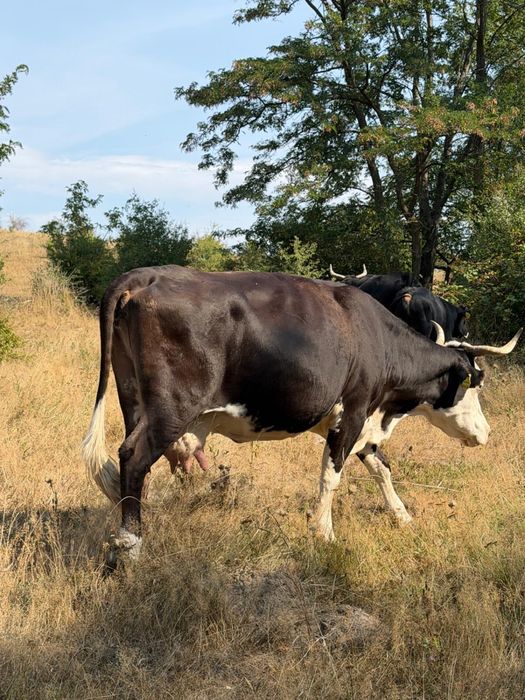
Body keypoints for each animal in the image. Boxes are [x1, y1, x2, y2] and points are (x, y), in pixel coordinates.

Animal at [82, 266, 521, 559]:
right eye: (476, 383)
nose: (485, 432)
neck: (379, 339)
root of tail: (145, 276)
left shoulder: (364, 422)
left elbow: (381, 468)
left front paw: (402, 516)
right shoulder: (354, 412)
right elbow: (331, 475)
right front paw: (323, 532)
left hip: (132, 398)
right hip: (171, 409)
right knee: (134, 457)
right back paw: (131, 543)